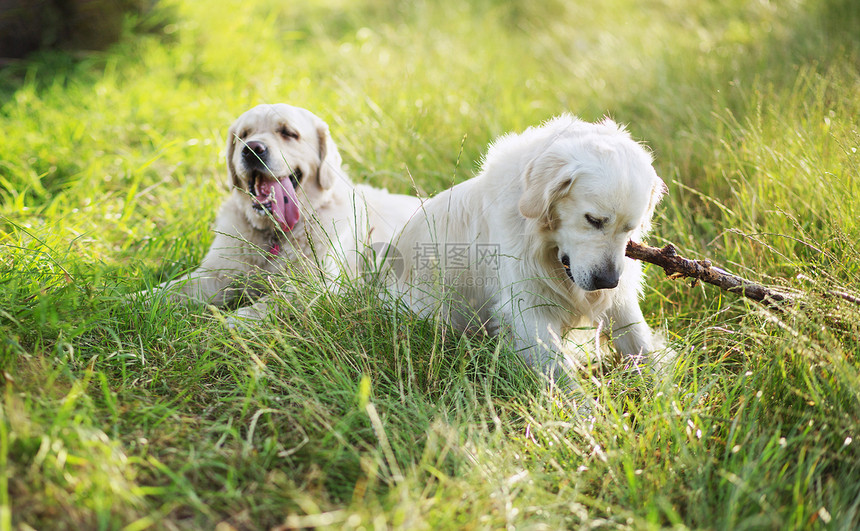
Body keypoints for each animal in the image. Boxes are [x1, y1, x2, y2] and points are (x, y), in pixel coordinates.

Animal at [134, 102, 424, 322]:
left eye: (288, 133)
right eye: (244, 134)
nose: (252, 149)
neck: (274, 234)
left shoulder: (319, 286)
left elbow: (268, 304)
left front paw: (228, 325)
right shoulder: (215, 273)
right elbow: (169, 289)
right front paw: (130, 300)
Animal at [388, 116, 672, 380]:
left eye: (629, 229)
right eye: (593, 220)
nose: (608, 281)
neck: (544, 243)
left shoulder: (619, 301)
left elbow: (643, 345)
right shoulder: (528, 312)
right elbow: (562, 376)